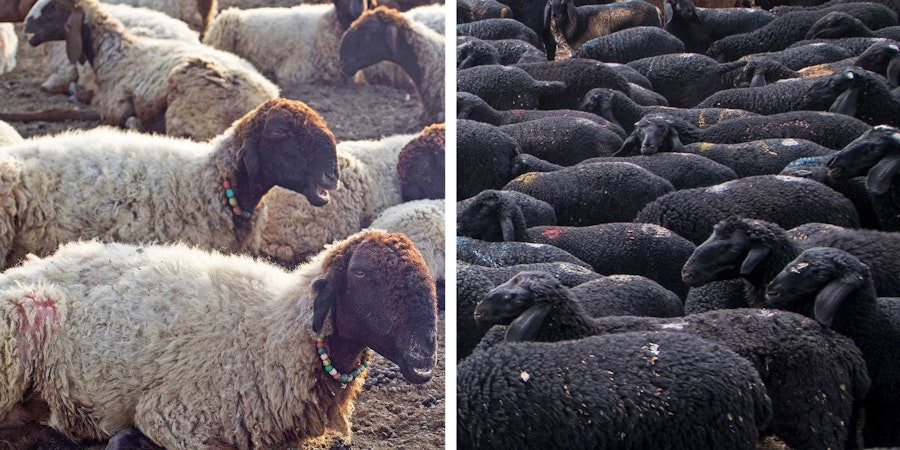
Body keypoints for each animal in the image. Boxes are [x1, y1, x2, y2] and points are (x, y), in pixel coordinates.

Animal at [0, 229, 438, 448]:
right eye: (361, 273)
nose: (426, 350)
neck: (274, 332)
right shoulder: (175, 417)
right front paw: (125, 437)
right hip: (21, 322)